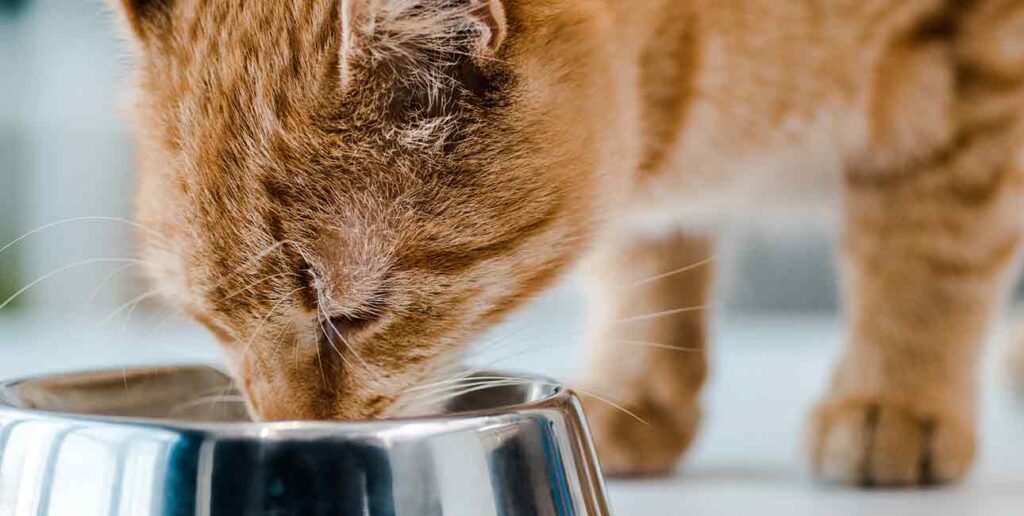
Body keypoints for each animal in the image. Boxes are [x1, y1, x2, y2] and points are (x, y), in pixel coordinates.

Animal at [114, 0, 1024, 487]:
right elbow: (646, 262)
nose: (291, 434)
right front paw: (637, 388)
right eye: (212, 324)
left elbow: (929, 248)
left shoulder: (980, 62)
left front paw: (895, 396)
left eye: (352, 316)